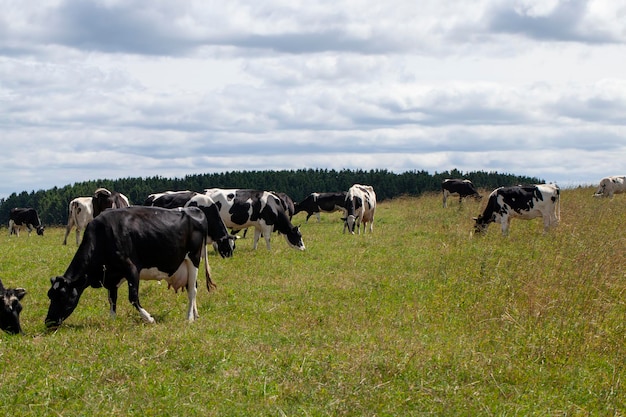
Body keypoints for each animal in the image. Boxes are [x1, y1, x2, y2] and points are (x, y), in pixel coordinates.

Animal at [45, 205, 218, 328]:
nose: (48, 322)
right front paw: (112, 319)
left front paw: (149, 318)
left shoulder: (132, 268)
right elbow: (112, 298)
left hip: (193, 258)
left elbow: (133, 297)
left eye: (63, 296)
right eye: (50, 295)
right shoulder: (111, 276)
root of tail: (195, 210)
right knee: (193, 286)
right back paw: (195, 314)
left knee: (192, 290)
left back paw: (189, 318)